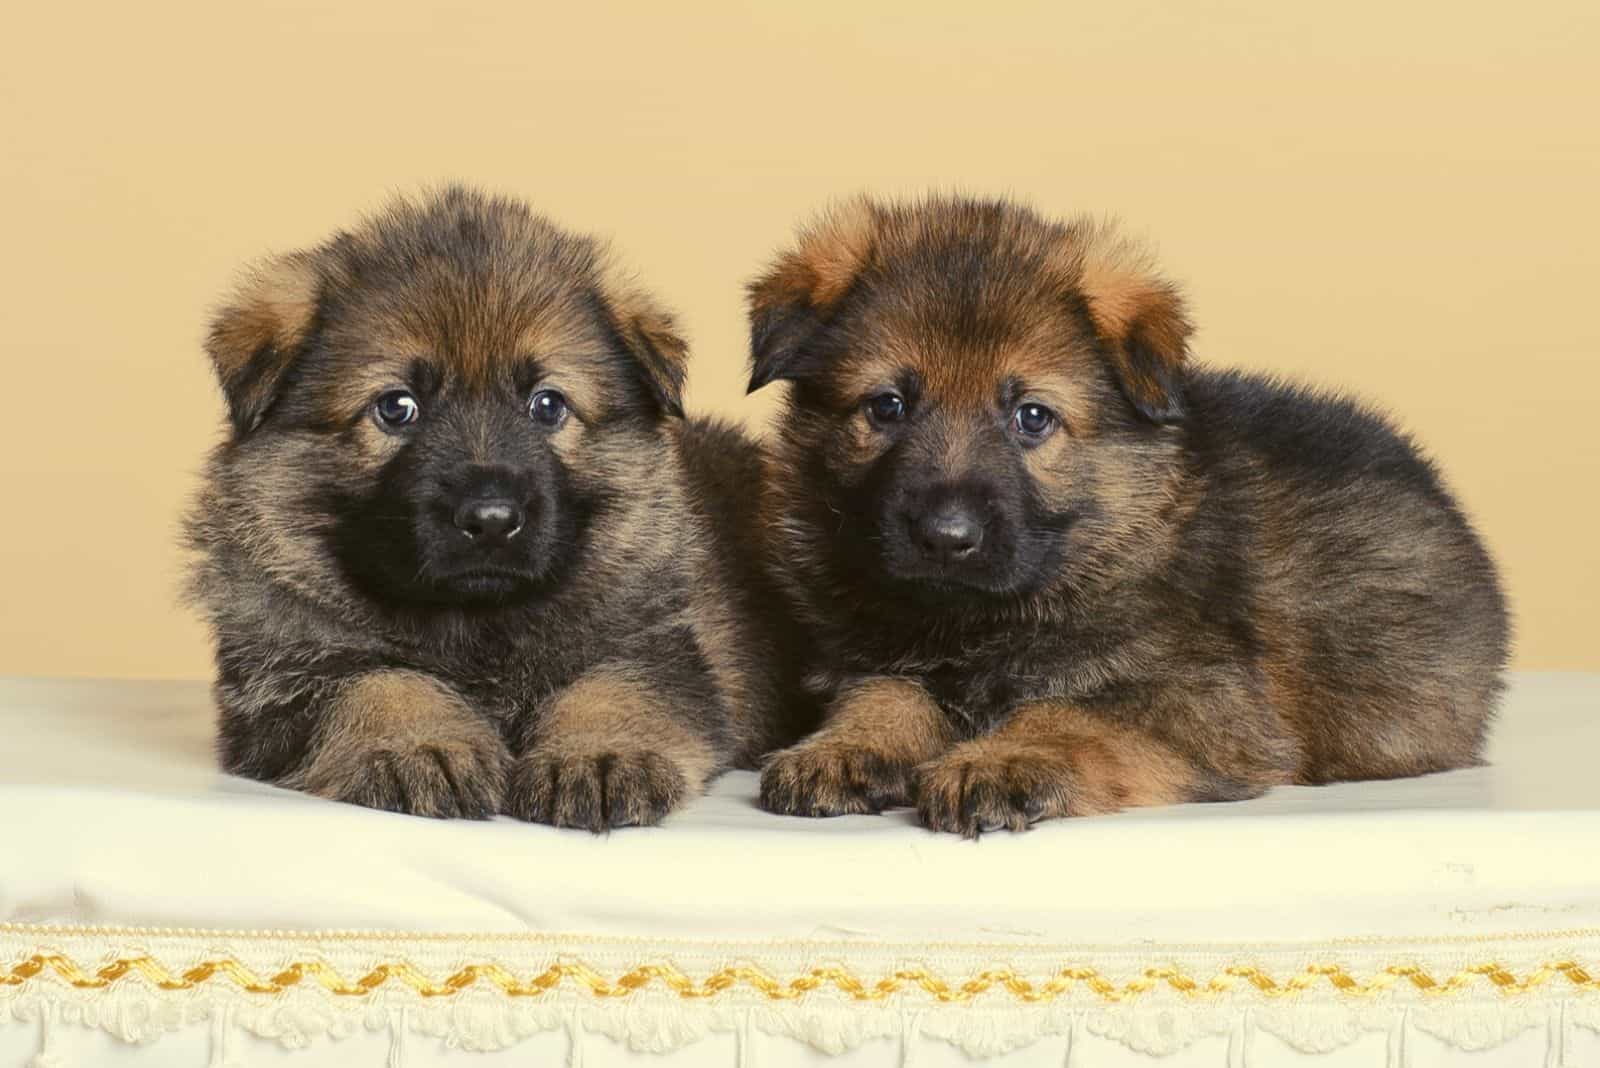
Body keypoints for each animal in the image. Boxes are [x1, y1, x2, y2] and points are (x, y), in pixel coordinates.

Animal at [188, 187, 806, 831]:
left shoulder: (656, 649)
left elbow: (616, 689)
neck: (478, 620)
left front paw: (597, 753)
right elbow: (378, 682)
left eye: (547, 405)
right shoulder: (286, 681)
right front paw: (422, 743)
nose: (490, 519)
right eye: (396, 407)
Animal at [742, 198, 1504, 831]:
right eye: (887, 406)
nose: (945, 538)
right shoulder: (864, 658)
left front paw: (999, 760)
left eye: (1032, 417)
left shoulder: (1208, 703)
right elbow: (885, 691)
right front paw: (846, 747)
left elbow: (1071, 714)